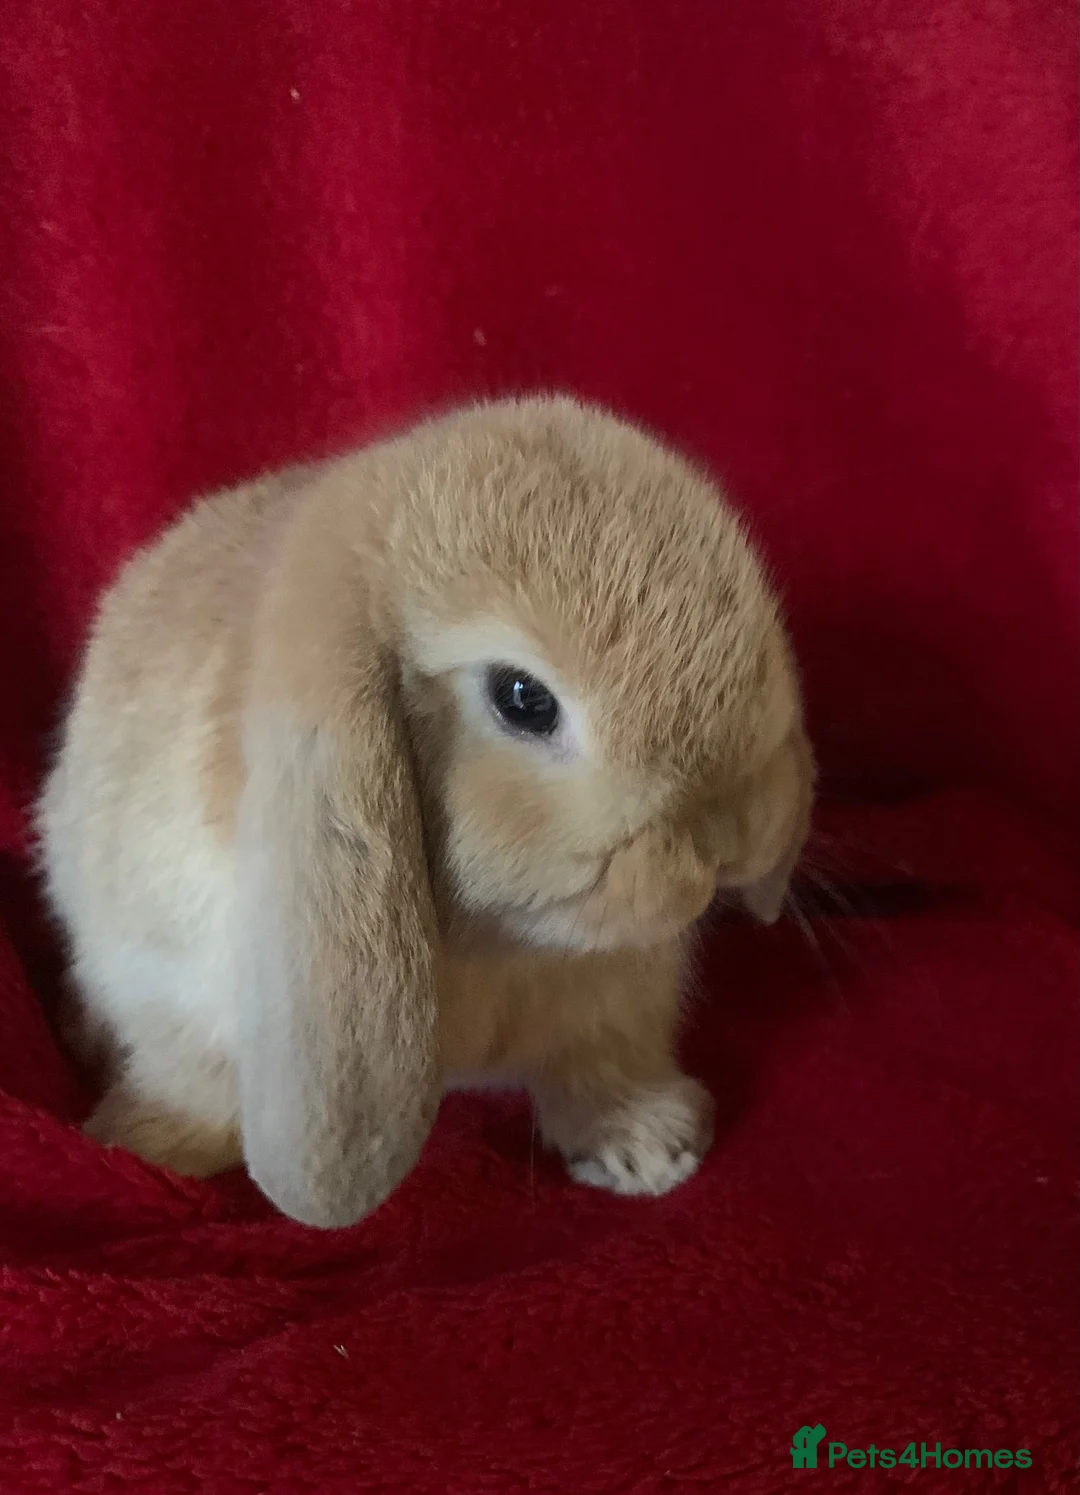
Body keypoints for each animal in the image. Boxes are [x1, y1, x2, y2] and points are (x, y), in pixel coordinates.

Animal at [36, 395, 814, 1229]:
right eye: (523, 698)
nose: (732, 836)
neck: (501, 942)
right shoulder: (181, 996)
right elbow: (195, 1087)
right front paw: (138, 1147)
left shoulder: (612, 1006)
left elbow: (599, 1066)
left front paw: (651, 1145)